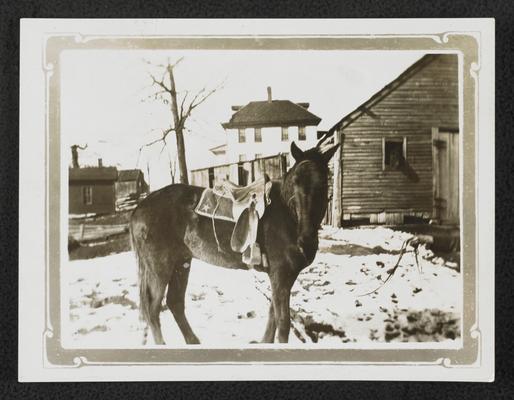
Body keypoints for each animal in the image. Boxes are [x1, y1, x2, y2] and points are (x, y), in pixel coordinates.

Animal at [128, 141, 338, 344]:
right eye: (295, 181)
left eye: (323, 182)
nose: (306, 241)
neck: (287, 216)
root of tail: (140, 208)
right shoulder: (280, 275)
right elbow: (283, 322)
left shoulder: (284, 277)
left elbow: (273, 314)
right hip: (159, 267)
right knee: (153, 309)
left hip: (181, 262)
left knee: (174, 302)